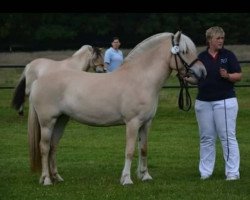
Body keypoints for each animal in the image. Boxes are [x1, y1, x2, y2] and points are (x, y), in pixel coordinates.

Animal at [25, 31, 206, 186]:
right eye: (184, 51)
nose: (202, 72)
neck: (140, 79)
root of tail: (38, 81)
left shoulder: (146, 123)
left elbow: (144, 149)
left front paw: (145, 176)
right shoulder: (133, 123)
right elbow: (130, 150)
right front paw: (126, 179)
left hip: (61, 120)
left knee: (53, 146)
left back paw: (56, 177)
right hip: (47, 122)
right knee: (44, 147)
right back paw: (46, 180)